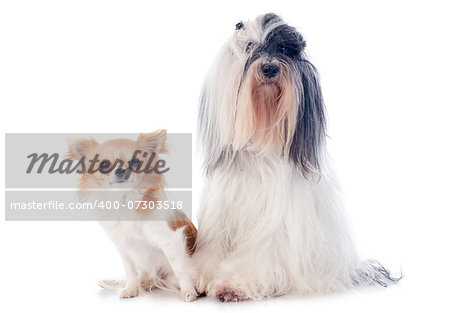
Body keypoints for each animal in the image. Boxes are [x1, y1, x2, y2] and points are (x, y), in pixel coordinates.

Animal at [67, 129, 198, 300]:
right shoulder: (123, 247)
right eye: (104, 165)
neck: (124, 202)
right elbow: (130, 271)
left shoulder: (171, 241)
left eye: (136, 162)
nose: (121, 170)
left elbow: (180, 269)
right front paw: (131, 289)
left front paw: (189, 291)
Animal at [195, 13, 400, 302]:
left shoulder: (275, 226)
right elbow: (213, 248)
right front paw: (198, 275)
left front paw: (233, 284)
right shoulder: (221, 216)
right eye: (249, 47)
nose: (270, 68)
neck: (262, 140)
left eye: (283, 49)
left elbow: (259, 255)